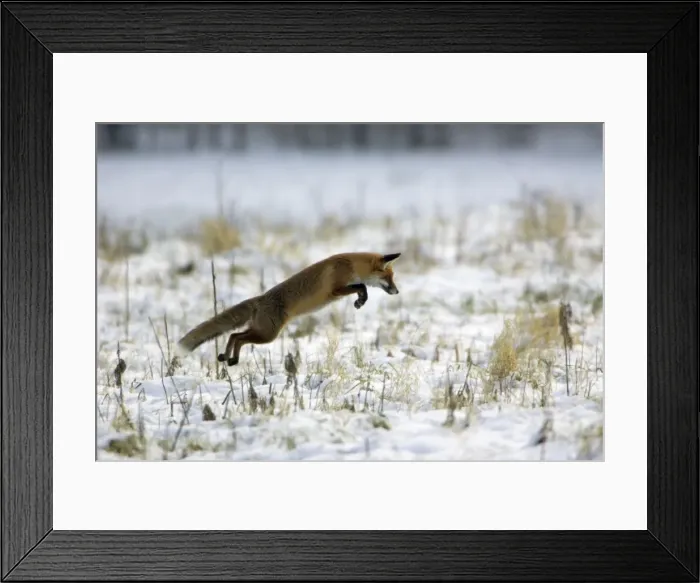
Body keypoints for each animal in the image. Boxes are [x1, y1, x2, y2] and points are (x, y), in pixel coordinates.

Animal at [176, 252, 401, 366]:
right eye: (389, 277)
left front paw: (361, 301)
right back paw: (232, 358)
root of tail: (259, 299)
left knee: (234, 335)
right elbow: (362, 286)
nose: (397, 291)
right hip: (268, 335)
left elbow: (361, 286)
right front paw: (361, 300)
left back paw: (228, 357)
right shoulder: (336, 289)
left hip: (262, 331)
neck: (351, 265)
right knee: (238, 337)